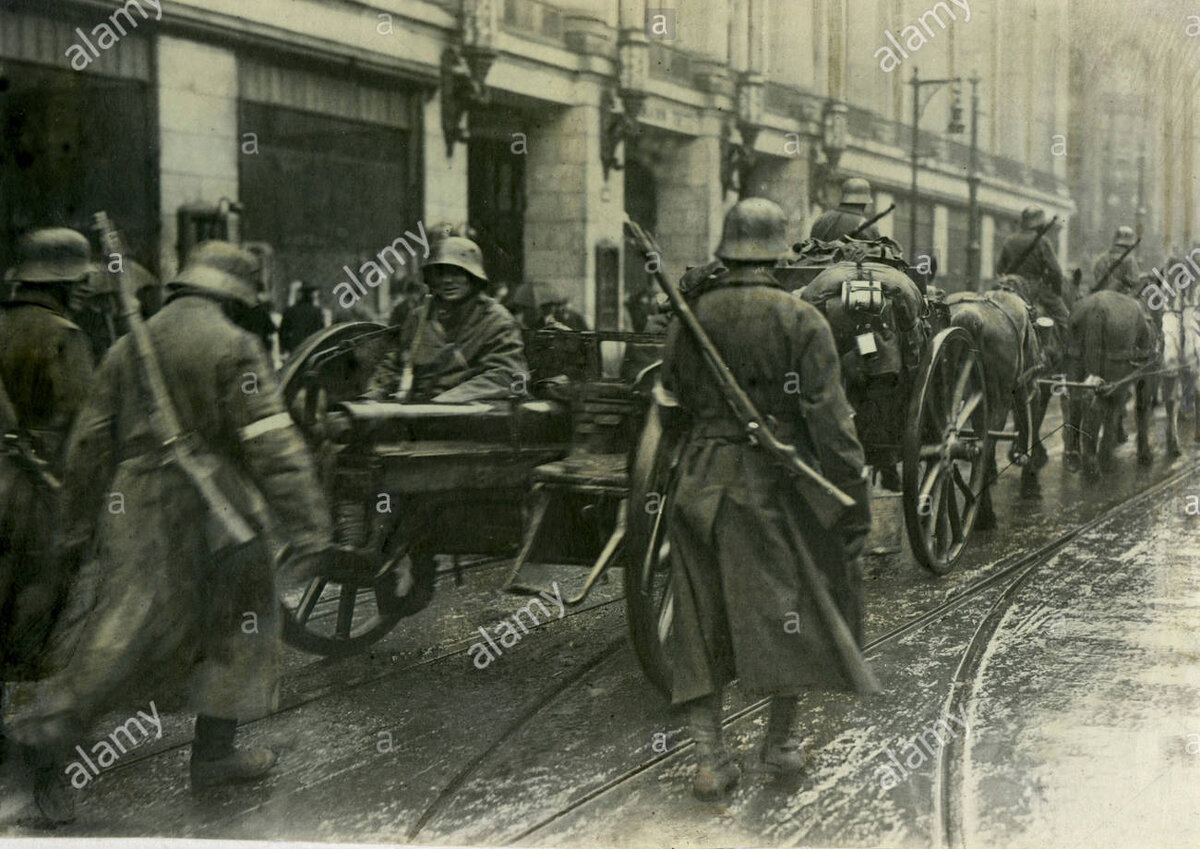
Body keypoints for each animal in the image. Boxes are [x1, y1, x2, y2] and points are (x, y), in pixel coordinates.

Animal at [950, 281, 1046, 527]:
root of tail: (969, 318)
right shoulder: (1030, 381)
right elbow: (1029, 421)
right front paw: (1029, 477)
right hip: (998, 399)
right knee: (985, 444)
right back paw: (984, 515)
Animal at [1065, 290, 1156, 477]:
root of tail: (1095, 309)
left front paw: (1119, 435)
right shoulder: (1146, 374)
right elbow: (1141, 408)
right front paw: (1144, 454)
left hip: (1075, 356)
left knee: (1076, 398)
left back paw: (1075, 456)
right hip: (1115, 368)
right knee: (1103, 405)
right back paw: (1099, 461)